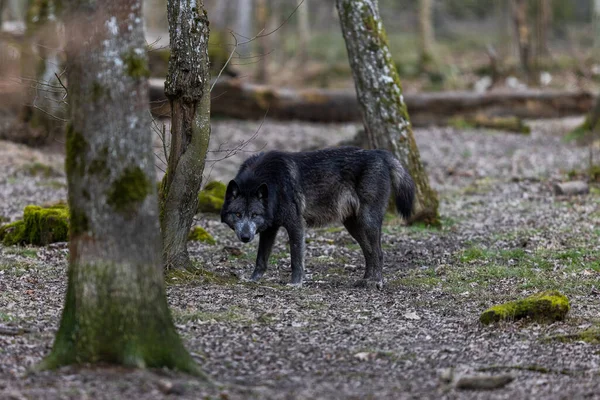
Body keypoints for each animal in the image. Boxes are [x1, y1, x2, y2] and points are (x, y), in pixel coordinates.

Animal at [221, 147, 418, 288]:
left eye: (254, 215)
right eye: (238, 214)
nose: (245, 237)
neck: (272, 182)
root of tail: (380, 153)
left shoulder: (296, 224)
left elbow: (296, 259)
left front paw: (295, 283)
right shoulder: (270, 229)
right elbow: (261, 259)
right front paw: (253, 280)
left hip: (368, 221)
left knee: (379, 253)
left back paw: (376, 282)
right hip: (353, 225)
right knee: (369, 253)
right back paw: (365, 280)